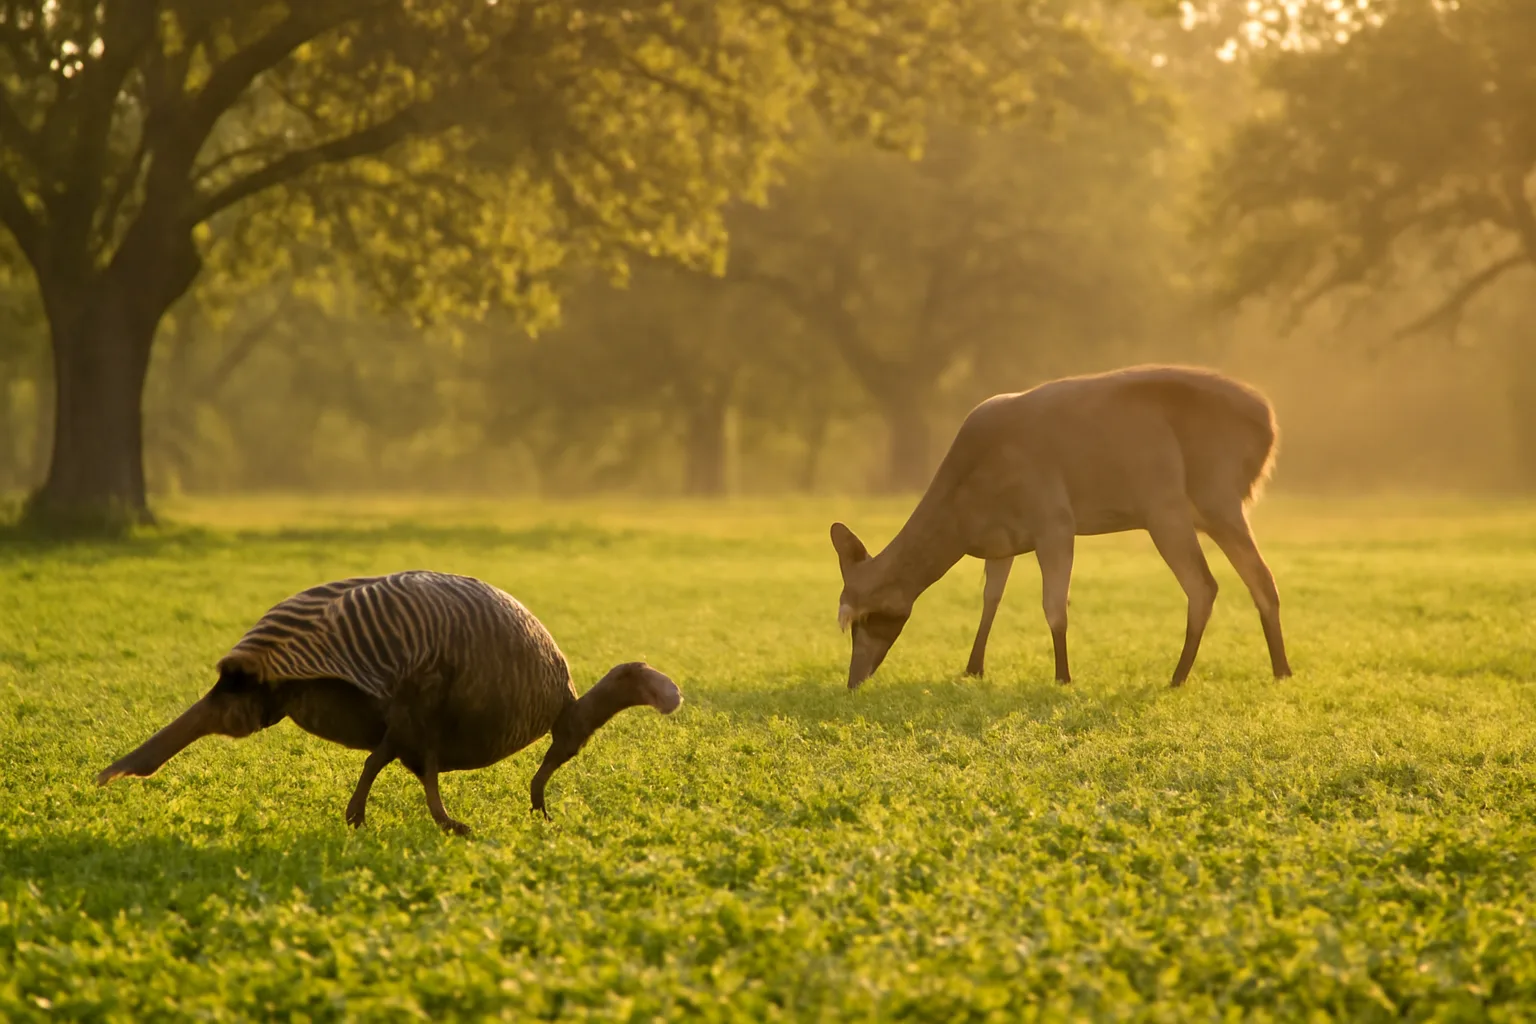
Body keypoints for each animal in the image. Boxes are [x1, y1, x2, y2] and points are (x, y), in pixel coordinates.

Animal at [831, 365, 1292, 690]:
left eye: (864, 618)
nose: (854, 680)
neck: (967, 518)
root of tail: (1269, 429)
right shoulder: (1003, 542)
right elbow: (990, 598)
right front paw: (973, 667)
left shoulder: (1053, 518)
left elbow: (1054, 605)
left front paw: (1063, 676)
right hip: (1217, 506)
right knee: (1261, 577)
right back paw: (1281, 670)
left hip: (1177, 502)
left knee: (1204, 584)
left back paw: (1177, 676)